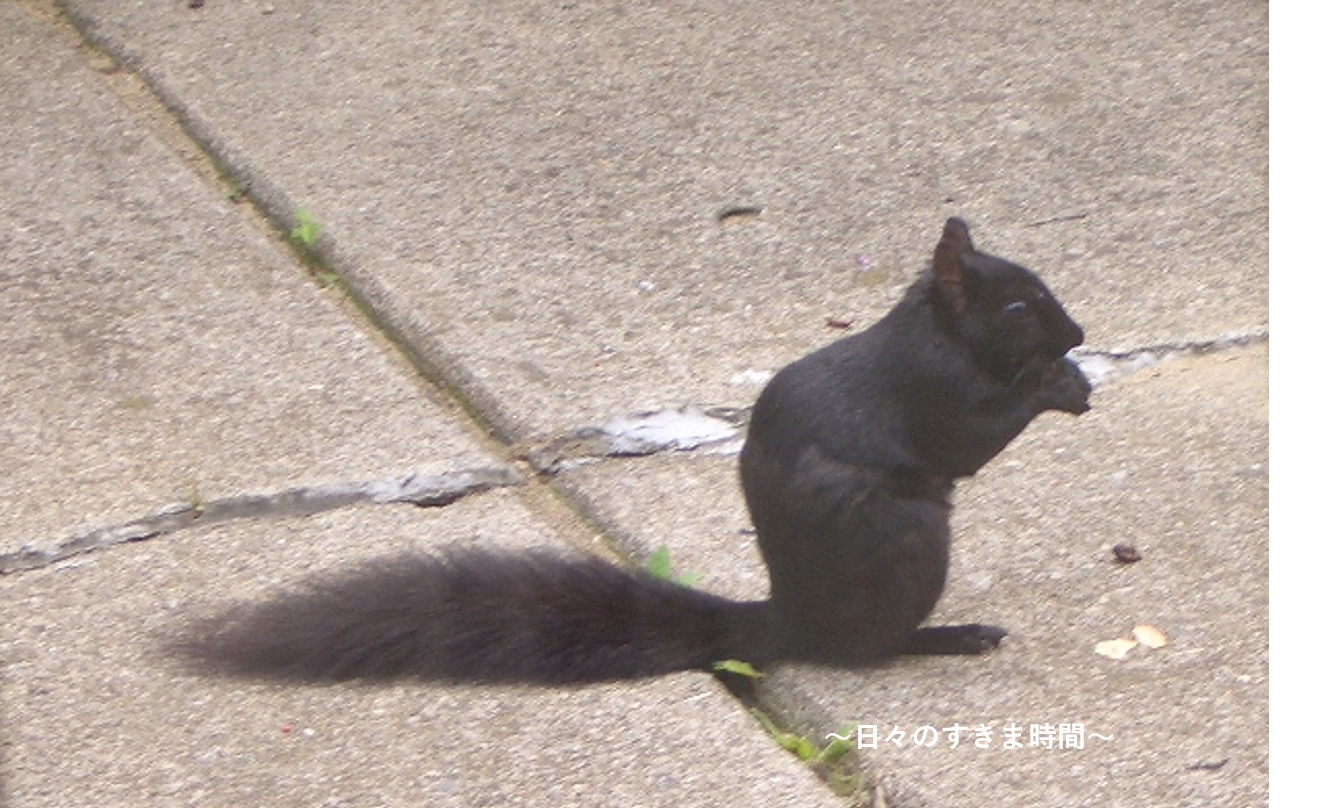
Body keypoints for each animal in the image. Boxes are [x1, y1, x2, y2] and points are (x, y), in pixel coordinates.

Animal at [174, 220, 1093, 682]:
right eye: (1017, 307)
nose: (1078, 334)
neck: (938, 330)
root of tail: (787, 616)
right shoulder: (933, 391)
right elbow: (972, 437)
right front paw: (1059, 383)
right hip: (905, 544)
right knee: (862, 651)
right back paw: (949, 636)